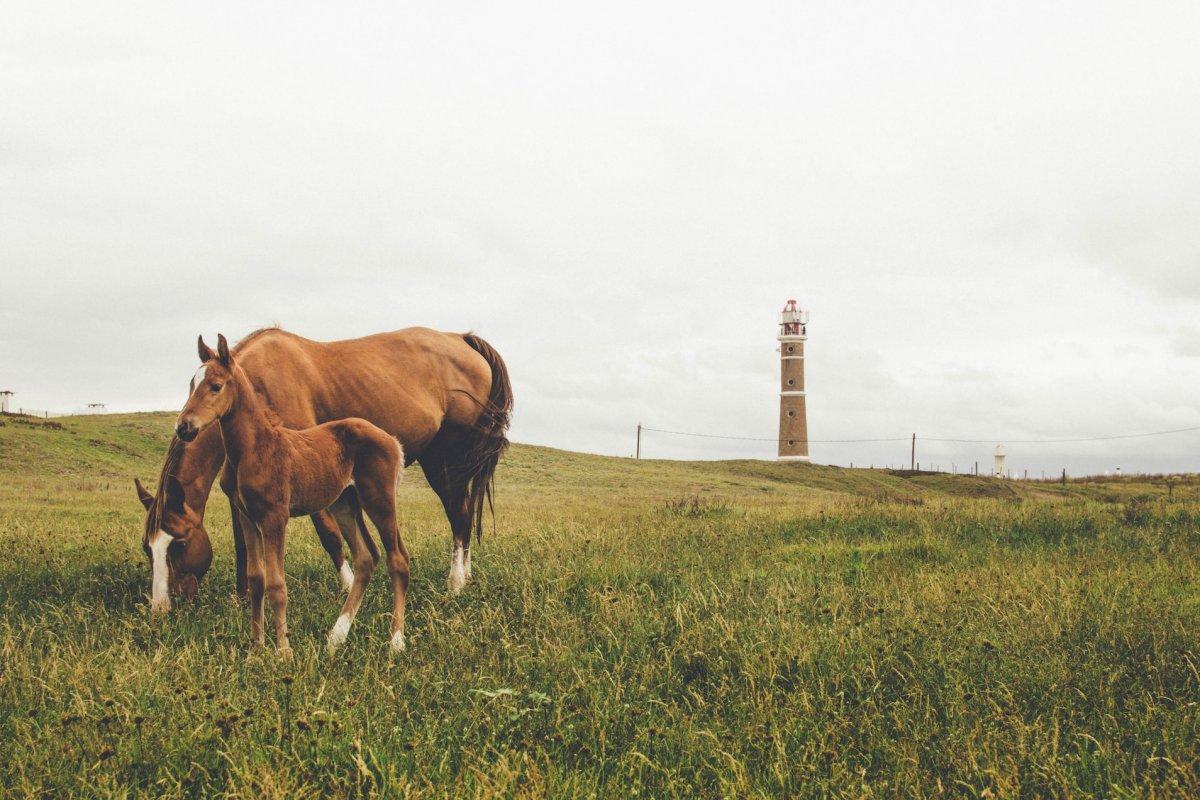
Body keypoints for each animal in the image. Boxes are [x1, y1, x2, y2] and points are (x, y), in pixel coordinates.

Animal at [136, 328, 511, 618]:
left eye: (180, 544)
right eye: (147, 548)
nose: (161, 607)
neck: (258, 384)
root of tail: (461, 339)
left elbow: (329, 534)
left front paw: (348, 587)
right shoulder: (243, 493)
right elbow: (243, 542)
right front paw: (243, 598)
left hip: (445, 460)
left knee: (459, 515)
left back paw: (456, 584)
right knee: (464, 514)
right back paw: (466, 575)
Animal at [158, 335, 408, 652]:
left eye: (215, 385)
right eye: (191, 384)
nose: (184, 427)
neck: (253, 448)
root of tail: (392, 440)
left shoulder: (275, 517)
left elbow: (277, 584)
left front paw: (283, 651)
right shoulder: (248, 517)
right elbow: (256, 579)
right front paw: (256, 648)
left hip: (379, 499)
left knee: (397, 559)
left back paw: (395, 642)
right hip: (344, 503)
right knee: (366, 558)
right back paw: (335, 638)